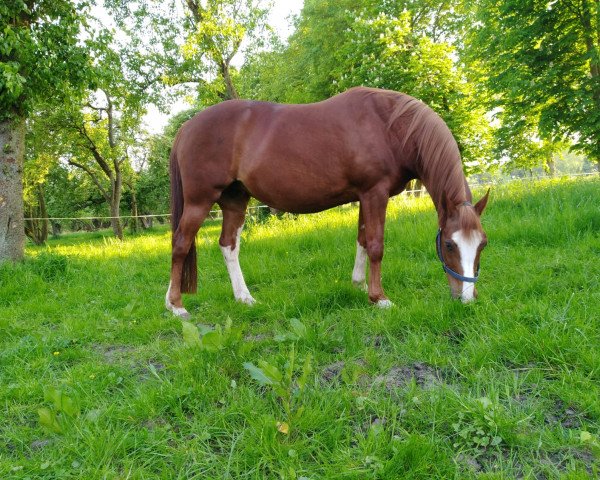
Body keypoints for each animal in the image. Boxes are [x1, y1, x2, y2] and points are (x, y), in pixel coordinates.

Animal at [164, 86, 488, 318]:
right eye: (449, 245)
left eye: (482, 244)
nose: (467, 299)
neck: (389, 126)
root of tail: (187, 128)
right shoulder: (375, 193)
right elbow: (376, 245)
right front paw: (380, 298)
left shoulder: (365, 196)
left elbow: (362, 240)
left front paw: (359, 285)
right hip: (200, 201)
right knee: (180, 243)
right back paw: (176, 305)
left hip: (235, 199)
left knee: (229, 245)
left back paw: (244, 298)